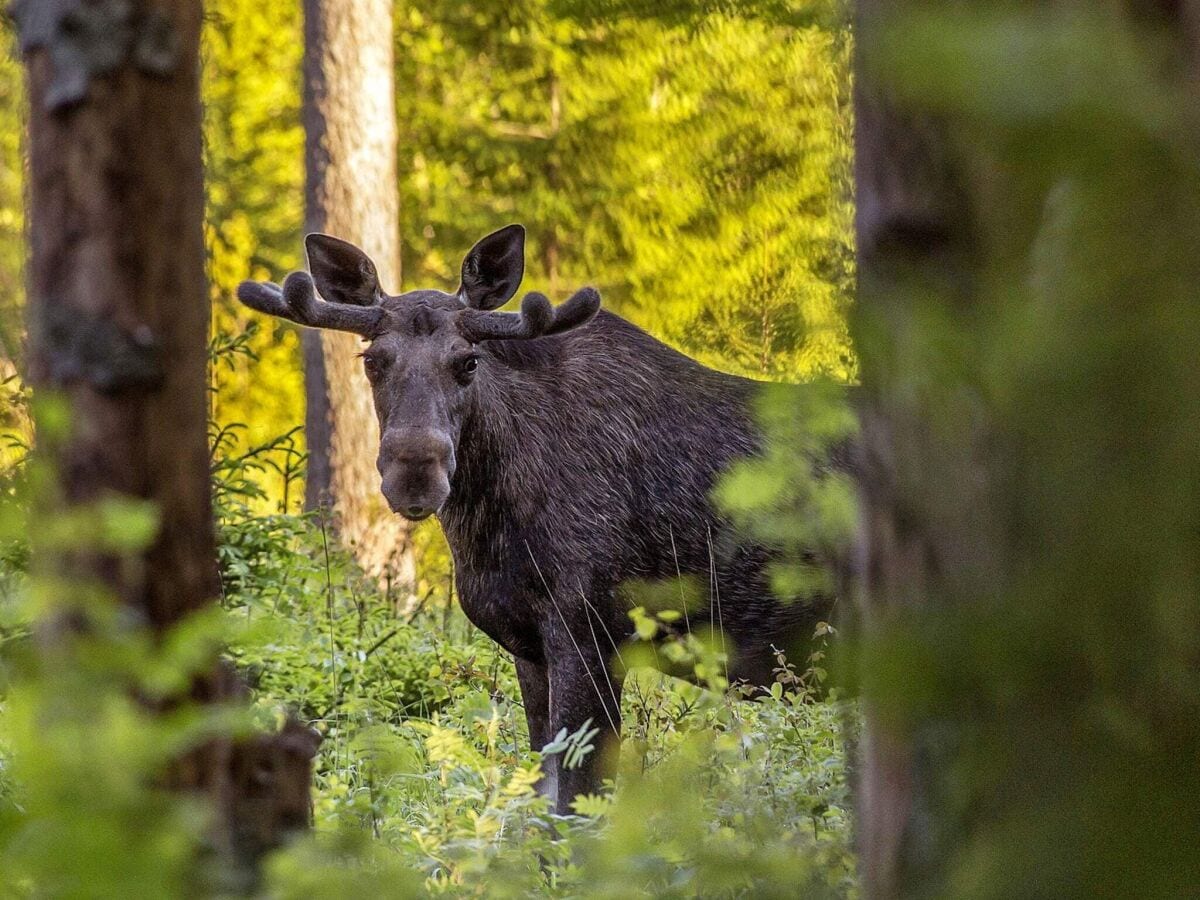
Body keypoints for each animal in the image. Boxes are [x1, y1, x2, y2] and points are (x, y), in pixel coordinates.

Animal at [234, 226, 835, 816]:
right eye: (372, 360)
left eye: (469, 362)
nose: (414, 473)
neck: (489, 528)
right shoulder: (529, 645)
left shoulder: (592, 630)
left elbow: (574, 803)